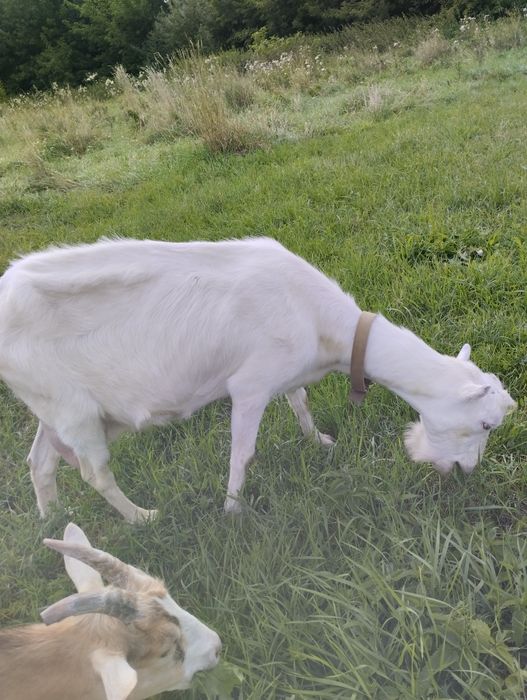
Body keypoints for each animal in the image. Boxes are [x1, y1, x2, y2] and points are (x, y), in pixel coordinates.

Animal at [0, 237, 515, 520]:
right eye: (485, 424)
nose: (468, 472)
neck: (321, 322)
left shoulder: (287, 371)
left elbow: (301, 401)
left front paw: (318, 442)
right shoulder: (250, 385)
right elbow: (243, 452)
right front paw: (233, 509)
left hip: (53, 406)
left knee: (40, 460)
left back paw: (53, 520)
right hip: (73, 409)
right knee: (93, 471)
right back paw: (142, 518)